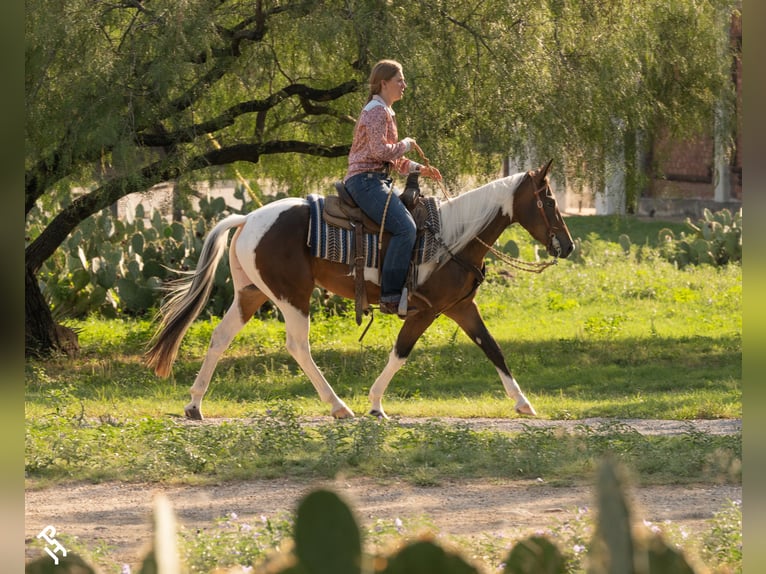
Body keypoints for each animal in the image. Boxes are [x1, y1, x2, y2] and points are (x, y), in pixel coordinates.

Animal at [145, 160, 574, 420]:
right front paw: (375, 404)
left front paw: (523, 403)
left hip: (250, 294)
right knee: (298, 346)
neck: (453, 236)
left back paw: (194, 404)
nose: (567, 246)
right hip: (293, 296)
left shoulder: (460, 307)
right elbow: (401, 352)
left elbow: (493, 349)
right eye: (550, 200)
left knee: (220, 337)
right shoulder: (425, 310)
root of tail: (249, 217)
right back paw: (338, 406)